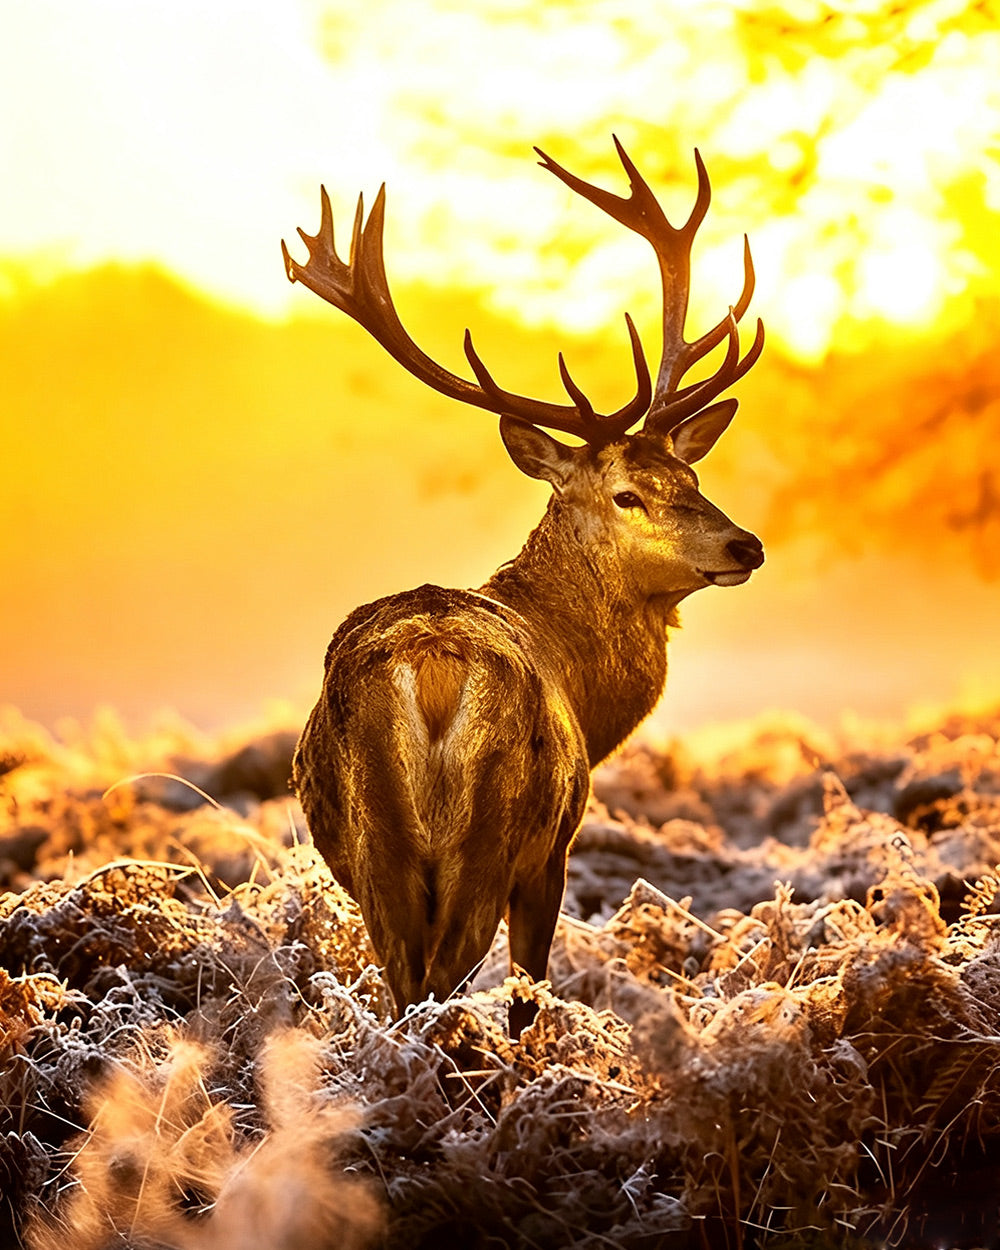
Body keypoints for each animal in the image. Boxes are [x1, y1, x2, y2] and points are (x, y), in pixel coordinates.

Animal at [284, 138, 765, 1031]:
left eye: (690, 473)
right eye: (627, 494)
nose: (744, 544)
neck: (586, 689)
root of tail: (433, 665)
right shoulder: (555, 850)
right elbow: (528, 992)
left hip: (376, 849)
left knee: (405, 986)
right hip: (493, 834)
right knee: (444, 982)